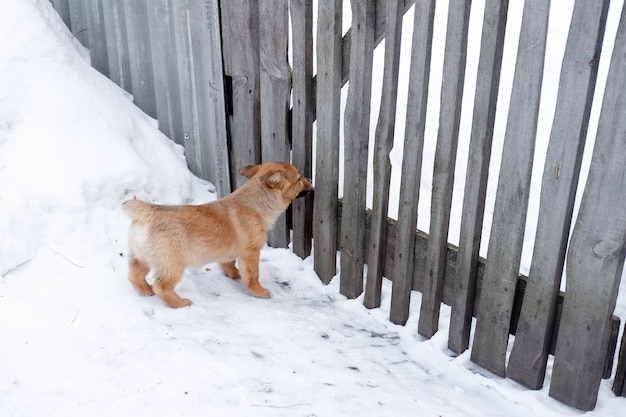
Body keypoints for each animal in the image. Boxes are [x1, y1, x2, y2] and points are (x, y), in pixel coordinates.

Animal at [120, 161, 310, 308]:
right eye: (299, 178)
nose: (310, 181)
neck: (255, 204)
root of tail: (148, 212)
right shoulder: (250, 253)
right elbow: (253, 276)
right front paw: (259, 291)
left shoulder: (230, 253)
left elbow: (229, 265)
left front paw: (234, 275)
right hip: (172, 264)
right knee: (162, 287)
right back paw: (180, 303)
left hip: (140, 257)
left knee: (135, 276)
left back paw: (146, 291)